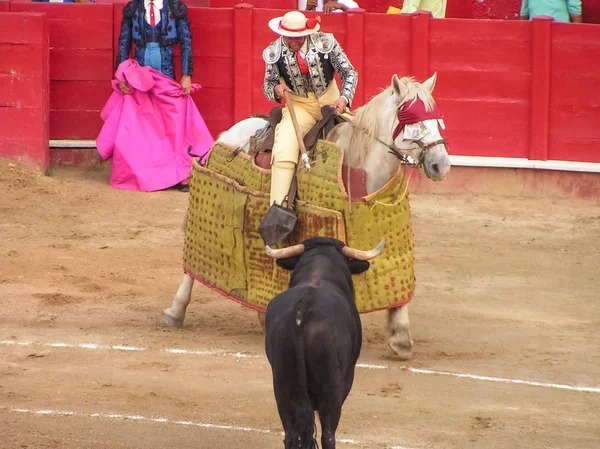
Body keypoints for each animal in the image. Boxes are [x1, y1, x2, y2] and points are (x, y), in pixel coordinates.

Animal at [164, 73, 450, 360]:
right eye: (412, 122)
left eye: (437, 120)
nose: (442, 165)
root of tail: (233, 130)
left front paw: (401, 338)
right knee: (194, 260)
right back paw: (175, 311)